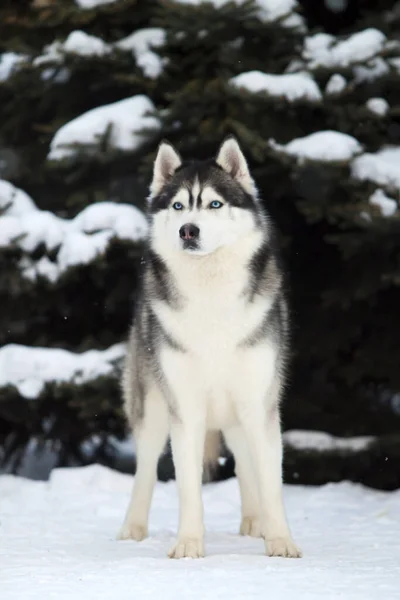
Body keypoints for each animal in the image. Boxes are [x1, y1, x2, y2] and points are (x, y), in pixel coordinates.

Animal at [117, 136, 302, 556]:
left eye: (215, 204)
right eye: (178, 206)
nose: (188, 230)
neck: (211, 295)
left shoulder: (259, 405)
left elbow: (271, 484)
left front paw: (280, 542)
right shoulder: (184, 409)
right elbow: (188, 488)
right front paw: (188, 545)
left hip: (238, 414)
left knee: (246, 464)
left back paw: (255, 523)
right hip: (152, 408)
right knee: (145, 469)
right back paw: (132, 529)